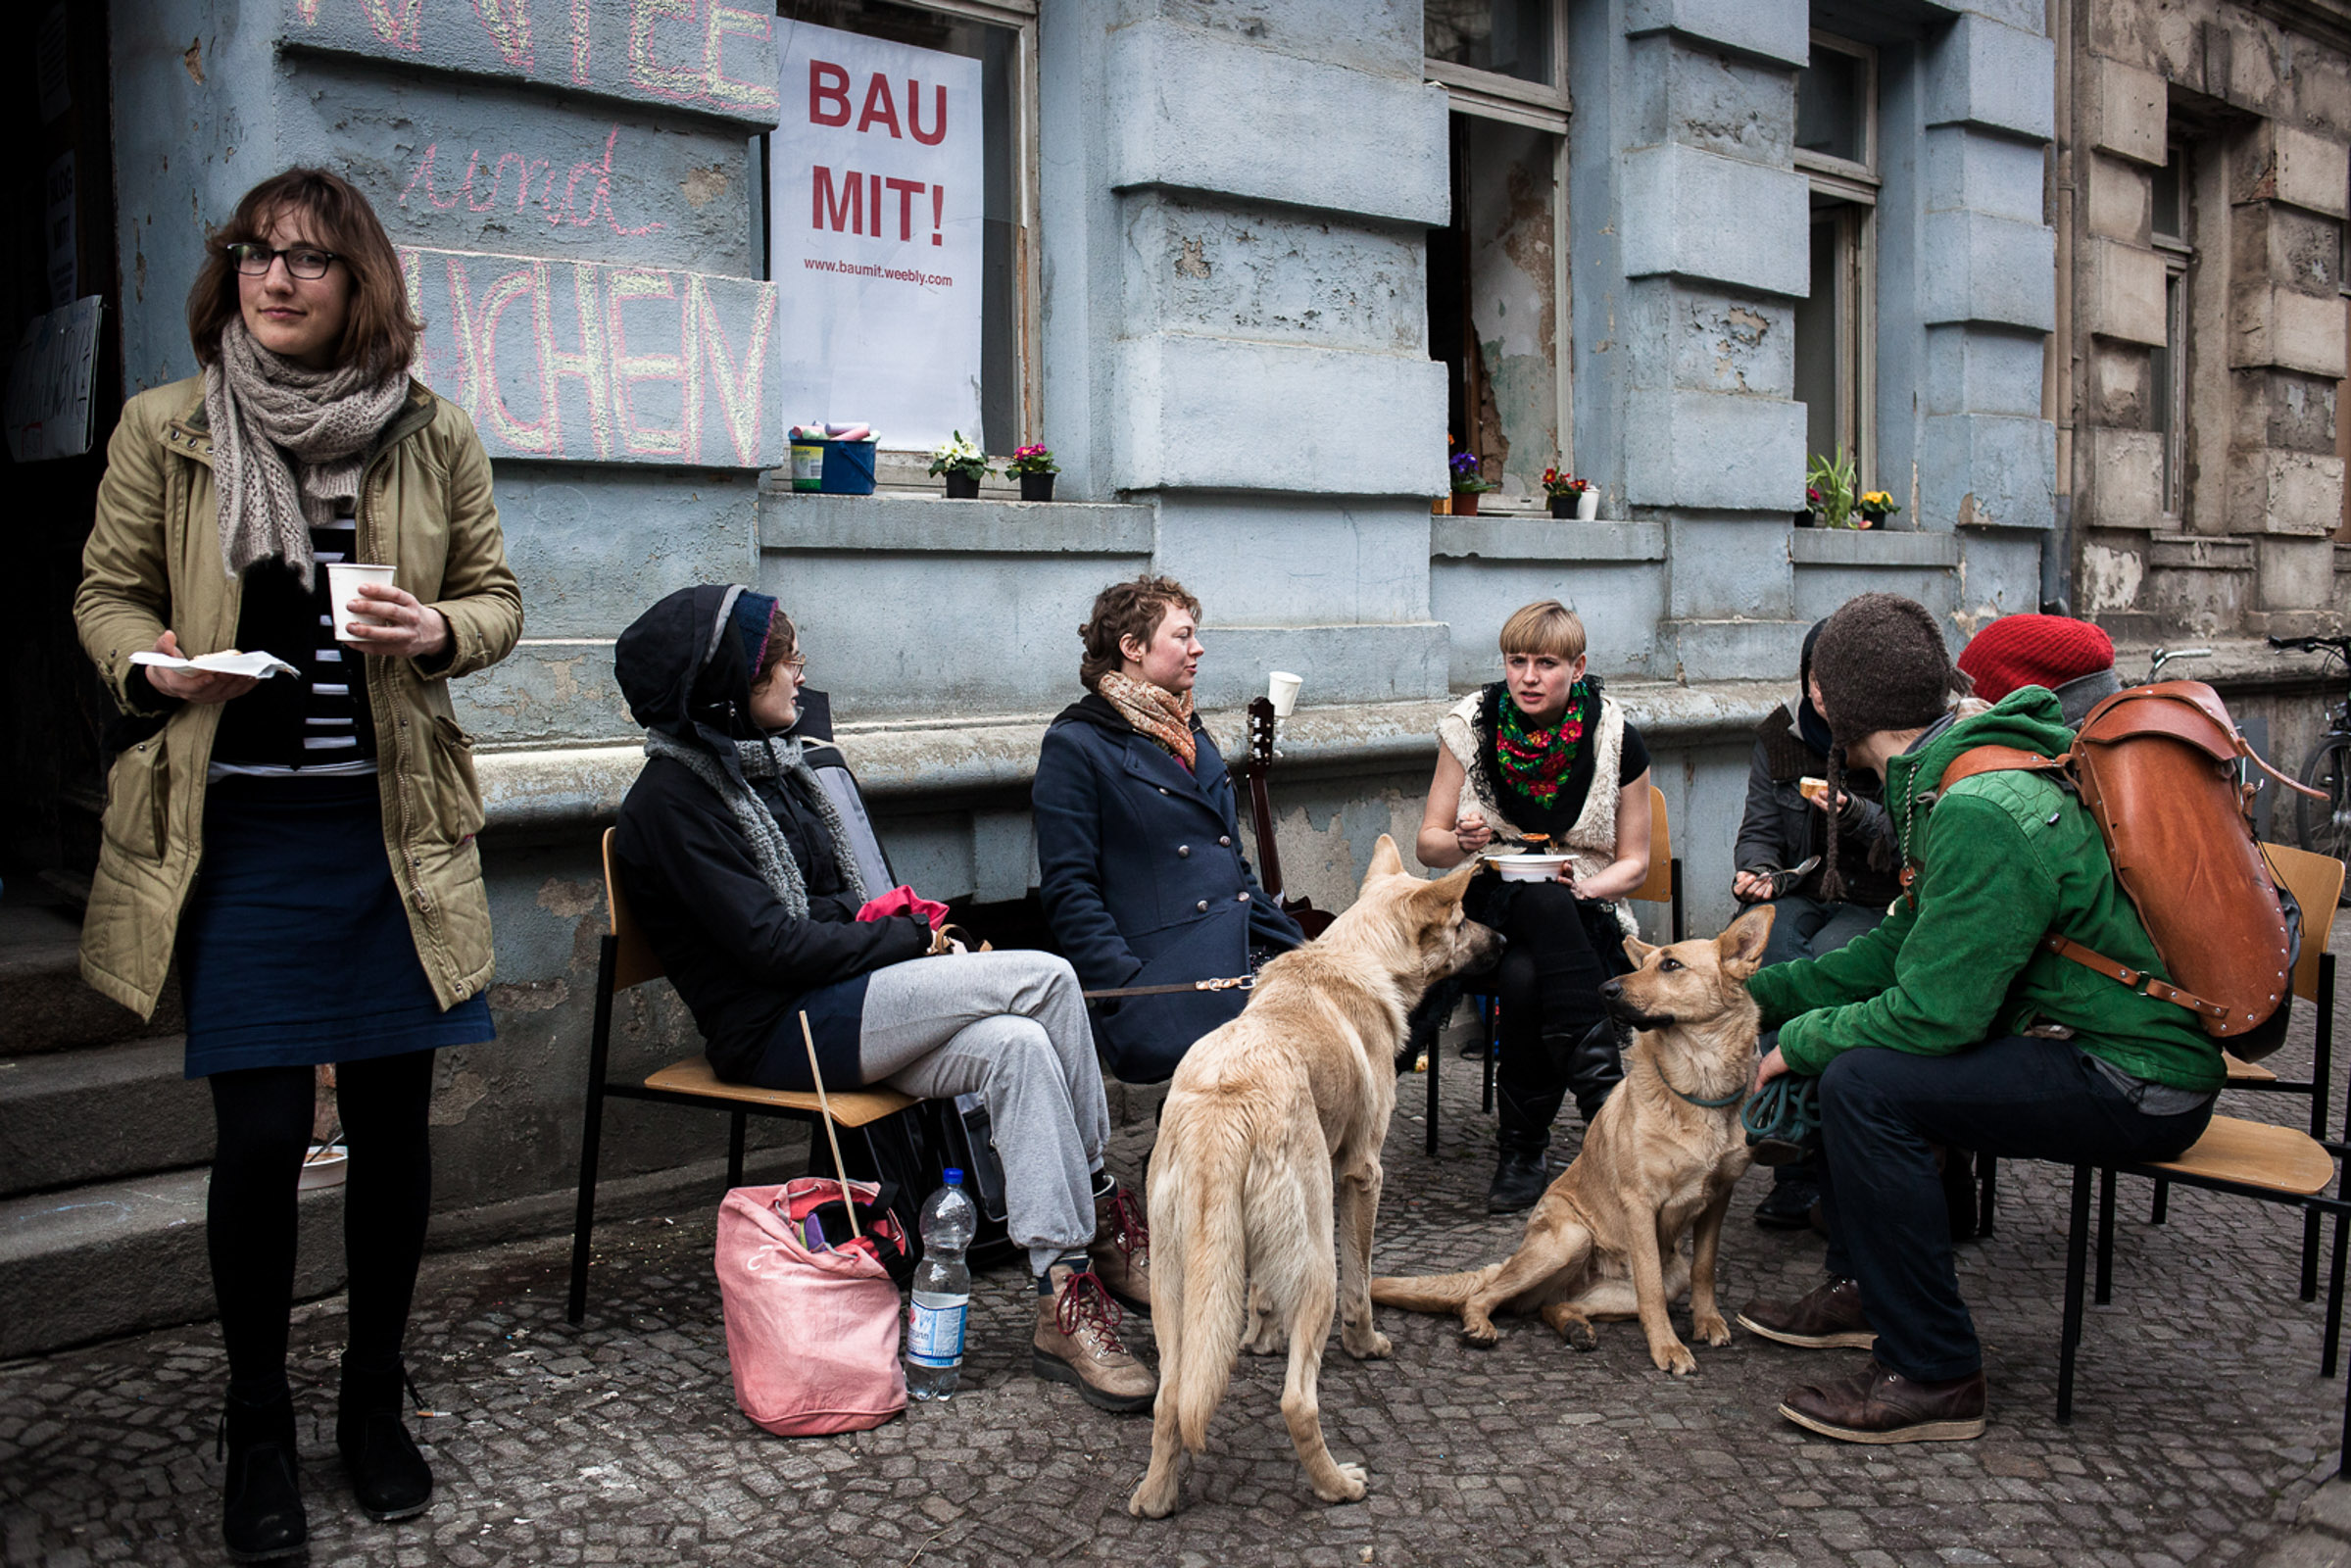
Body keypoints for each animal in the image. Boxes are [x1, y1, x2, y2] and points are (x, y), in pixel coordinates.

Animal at [1123, 846, 1494, 1523]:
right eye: (1461, 922)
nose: (1503, 940)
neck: (1352, 957)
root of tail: (1224, 1109)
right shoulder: (1363, 1174)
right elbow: (1364, 1283)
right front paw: (1367, 1343)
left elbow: (1260, 1295)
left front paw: (1260, 1338)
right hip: (1318, 1257)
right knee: (1298, 1401)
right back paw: (1336, 1485)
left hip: (1171, 1286)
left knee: (1172, 1400)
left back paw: (1156, 1497)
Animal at [1373, 906, 1768, 1372]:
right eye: (1648, 964)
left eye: (1671, 965)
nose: (1606, 988)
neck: (1699, 1087)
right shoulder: (1640, 1204)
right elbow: (1651, 1290)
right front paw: (1668, 1348)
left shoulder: (1719, 1197)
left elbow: (1704, 1268)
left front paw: (1708, 1321)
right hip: (1570, 1239)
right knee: (1484, 1296)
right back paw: (1481, 1326)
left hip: (1651, 1276)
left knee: (1554, 1305)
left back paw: (1576, 1327)